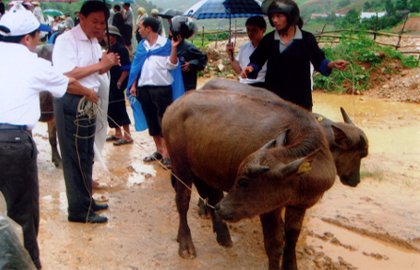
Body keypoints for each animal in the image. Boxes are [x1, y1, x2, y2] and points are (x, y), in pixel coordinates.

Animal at [162, 90, 336, 270]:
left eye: (243, 182)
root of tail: (175, 104)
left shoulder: (299, 205)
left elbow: (292, 236)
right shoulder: (269, 209)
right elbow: (274, 244)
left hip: (203, 168)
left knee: (211, 194)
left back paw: (223, 235)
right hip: (180, 165)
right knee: (182, 201)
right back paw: (185, 244)